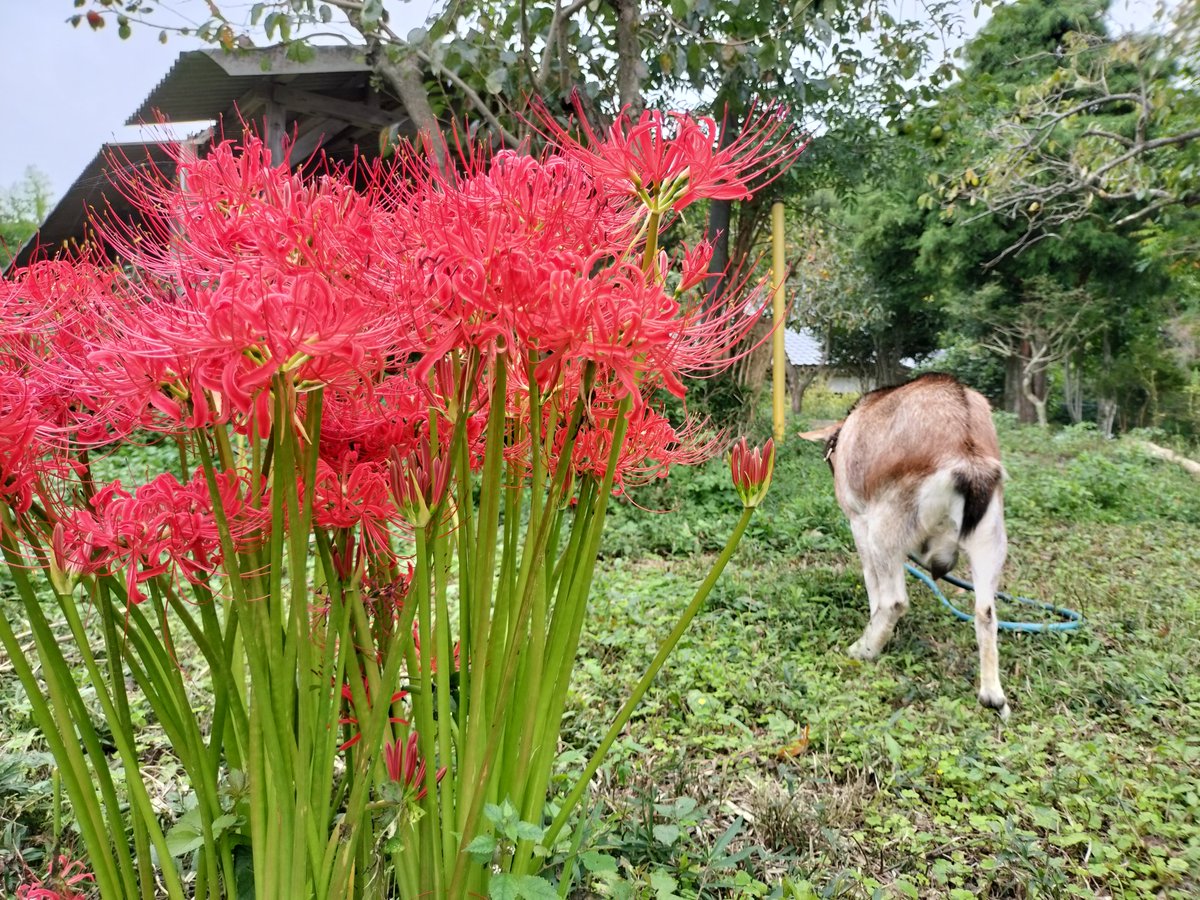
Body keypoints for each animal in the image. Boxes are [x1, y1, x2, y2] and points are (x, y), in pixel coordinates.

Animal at [801, 373, 1010, 718]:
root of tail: (964, 450)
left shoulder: (860, 523)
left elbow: (872, 583)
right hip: (990, 537)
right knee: (986, 612)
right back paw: (993, 696)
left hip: (884, 527)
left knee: (894, 600)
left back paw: (863, 649)